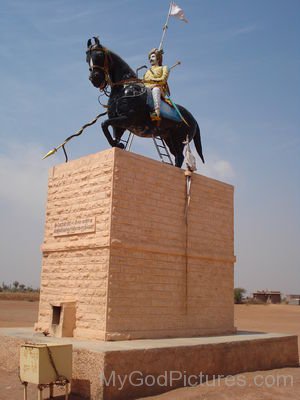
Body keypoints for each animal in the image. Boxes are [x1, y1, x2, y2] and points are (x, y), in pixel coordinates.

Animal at [85, 37, 205, 167]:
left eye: (99, 55)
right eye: (87, 58)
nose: (94, 79)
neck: (125, 87)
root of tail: (194, 120)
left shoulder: (127, 119)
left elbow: (104, 124)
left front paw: (118, 144)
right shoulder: (118, 125)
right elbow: (109, 132)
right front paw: (118, 144)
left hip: (179, 139)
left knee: (180, 157)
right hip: (169, 139)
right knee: (177, 157)